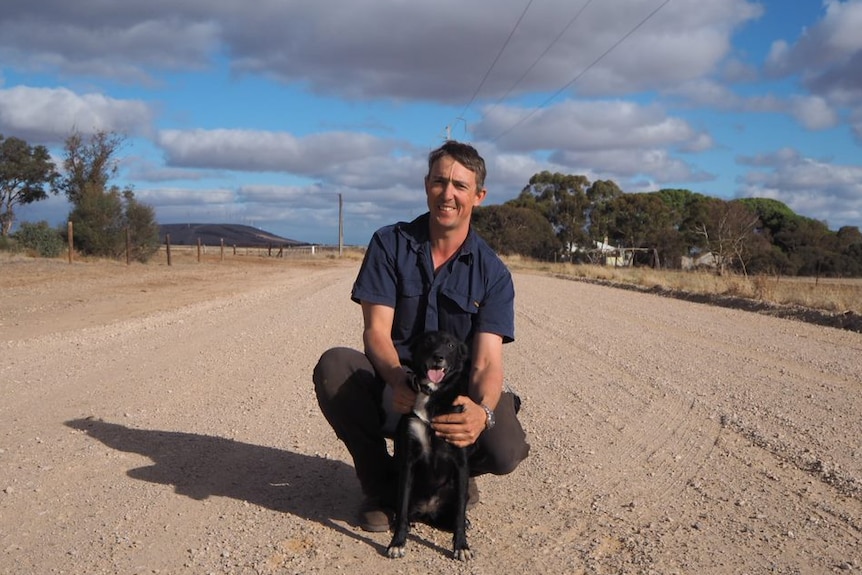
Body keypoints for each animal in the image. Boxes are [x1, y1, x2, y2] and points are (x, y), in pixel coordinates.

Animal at [388, 330, 476, 560]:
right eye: (428, 340)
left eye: (451, 345)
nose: (438, 357)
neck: (433, 394)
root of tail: (429, 511)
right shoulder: (408, 462)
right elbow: (402, 509)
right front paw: (397, 543)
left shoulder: (461, 464)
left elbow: (459, 514)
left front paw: (461, 546)